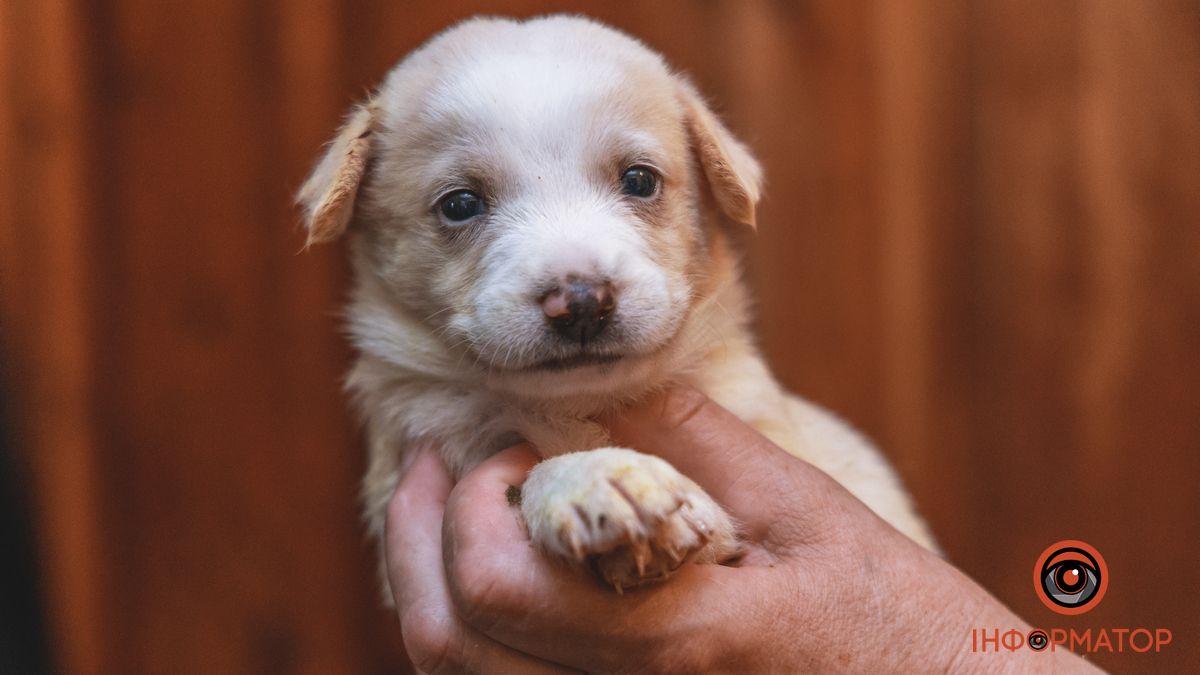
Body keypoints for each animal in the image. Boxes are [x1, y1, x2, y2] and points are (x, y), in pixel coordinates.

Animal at [300, 15, 936, 590]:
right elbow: (530, 477)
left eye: (639, 180)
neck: (580, 404)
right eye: (459, 204)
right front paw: (597, 481)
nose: (581, 303)